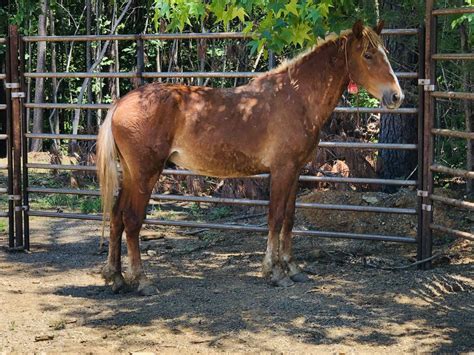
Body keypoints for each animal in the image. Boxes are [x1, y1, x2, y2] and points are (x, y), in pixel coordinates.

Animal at [96, 20, 404, 296]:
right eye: (368, 54)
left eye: (385, 52)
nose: (396, 96)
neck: (296, 97)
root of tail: (121, 103)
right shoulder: (281, 170)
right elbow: (275, 218)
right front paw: (275, 272)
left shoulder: (295, 171)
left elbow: (289, 218)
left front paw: (293, 268)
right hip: (145, 173)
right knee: (132, 220)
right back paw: (142, 281)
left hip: (131, 174)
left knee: (116, 217)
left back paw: (116, 278)